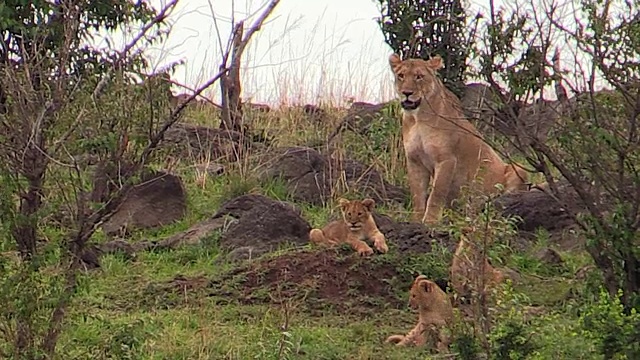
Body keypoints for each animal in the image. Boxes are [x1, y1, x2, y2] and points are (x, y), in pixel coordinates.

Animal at [388, 52, 528, 225]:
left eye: (419, 76)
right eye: (401, 76)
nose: (406, 93)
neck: (417, 118)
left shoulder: (446, 159)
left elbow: (437, 193)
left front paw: (430, 221)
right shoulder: (415, 160)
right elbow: (417, 194)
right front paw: (416, 219)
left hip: (519, 169)